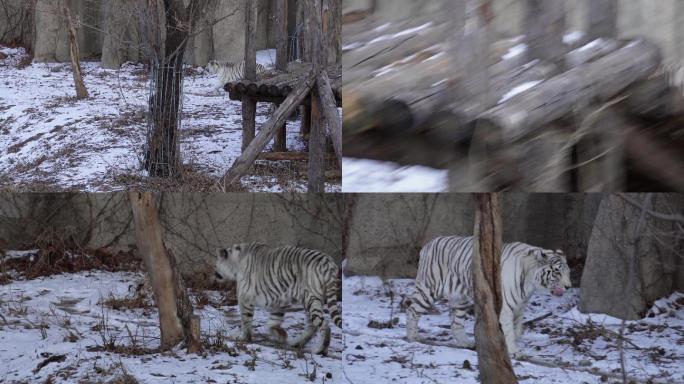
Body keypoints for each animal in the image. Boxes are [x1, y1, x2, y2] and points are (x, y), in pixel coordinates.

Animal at [406, 234, 572, 356]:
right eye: (557, 272)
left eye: (568, 272)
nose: (568, 286)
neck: (529, 284)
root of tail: (428, 244)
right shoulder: (506, 306)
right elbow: (509, 329)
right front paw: (513, 351)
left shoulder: (519, 307)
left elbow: (517, 329)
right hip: (428, 288)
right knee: (412, 309)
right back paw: (412, 337)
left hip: (460, 298)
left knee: (456, 322)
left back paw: (466, 343)